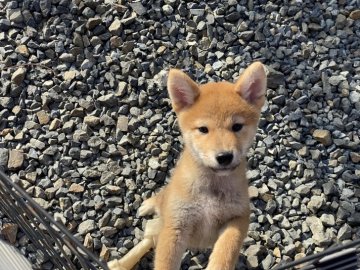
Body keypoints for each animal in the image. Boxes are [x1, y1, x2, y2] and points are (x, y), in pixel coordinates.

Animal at [139, 61, 266, 270]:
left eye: (237, 126)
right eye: (203, 129)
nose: (224, 157)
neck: (211, 189)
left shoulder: (238, 217)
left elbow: (227, 249)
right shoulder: (176, 224)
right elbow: (165, 262)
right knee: (160, 197)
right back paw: (147, 205)